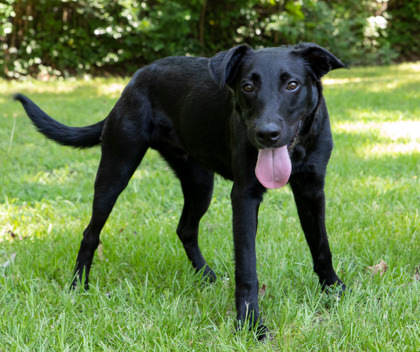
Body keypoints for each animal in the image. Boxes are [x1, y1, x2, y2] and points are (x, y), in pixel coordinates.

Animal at [14, 43, 346, 338]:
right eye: (248, 86)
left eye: (292, 85)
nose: (266, 134)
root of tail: (135, 80)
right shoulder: (244, 196)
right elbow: (247, 267)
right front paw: (250, 325)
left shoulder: (312, 190)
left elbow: (321, 245)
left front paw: (334, 289)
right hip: (116, 168)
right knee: (90, 233)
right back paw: (78, 286)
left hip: (200, 183)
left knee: (185, 228)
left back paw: (205, 275)